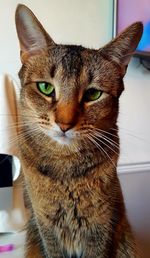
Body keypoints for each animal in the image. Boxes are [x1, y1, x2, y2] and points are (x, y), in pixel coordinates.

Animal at [14, 4, 143, 258]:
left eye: (93, 94)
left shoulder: (101, 228)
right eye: (45, 88)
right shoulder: (46, 228)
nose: (64, 124)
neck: (66, 166)